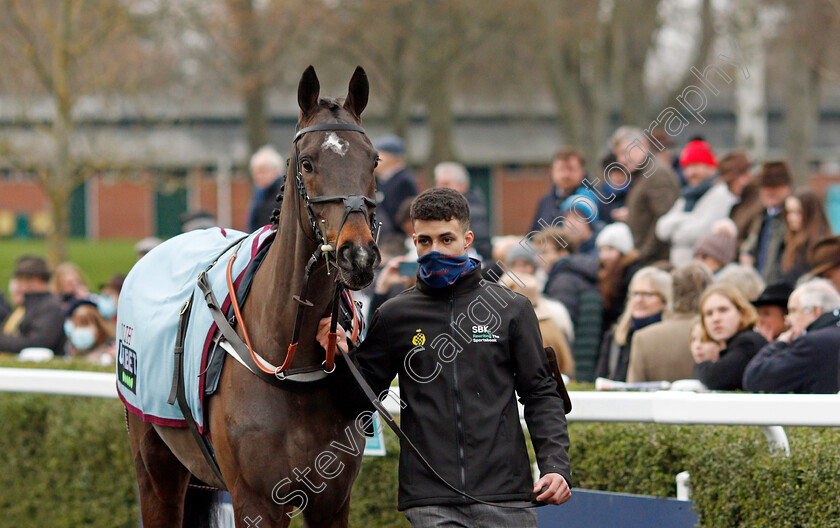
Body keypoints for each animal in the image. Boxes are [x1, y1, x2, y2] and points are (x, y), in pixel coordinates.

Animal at [126, 67, 382, 528]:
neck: (290, 364)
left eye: (373, 160)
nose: (358, 255)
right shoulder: (257, 502)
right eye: (307, 162)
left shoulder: (332, 502)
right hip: (153, 460)